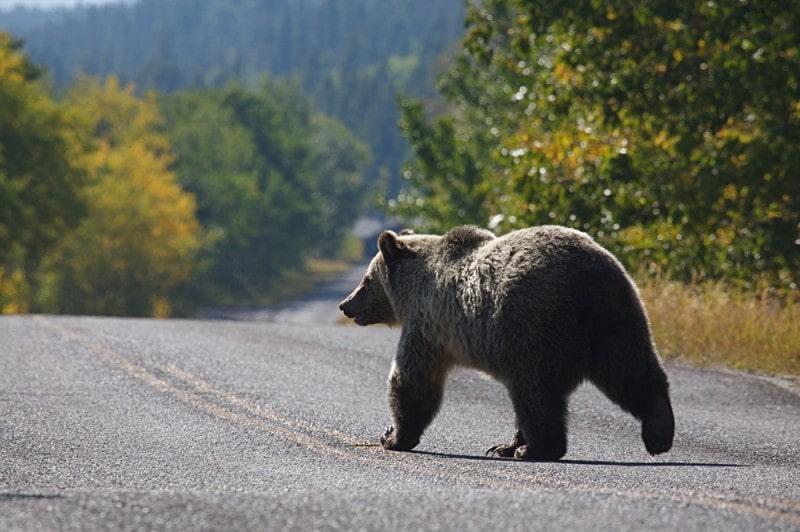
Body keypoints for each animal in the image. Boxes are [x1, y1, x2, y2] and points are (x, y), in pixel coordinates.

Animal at [340, 224, 676, 462]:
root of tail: (589, 276)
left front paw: (393, 436)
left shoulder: (428, 325)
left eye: (366, 281)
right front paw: (503, 444)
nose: (346, 305)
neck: (413, 288)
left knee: (537, 393)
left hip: (533, 325)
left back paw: (537, 449)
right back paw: (659, 430)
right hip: (616, 317)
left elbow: (412, 380)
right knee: (629, 370)